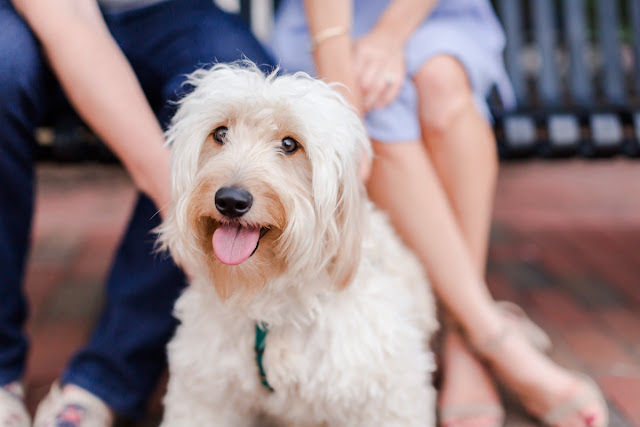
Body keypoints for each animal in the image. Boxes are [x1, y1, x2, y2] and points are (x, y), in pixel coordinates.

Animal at [159, 63, 440, 427]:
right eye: (220, 134)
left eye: (290, 144)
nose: (231, 200)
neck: (269, 301)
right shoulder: (205, 392)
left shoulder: (386, 392)